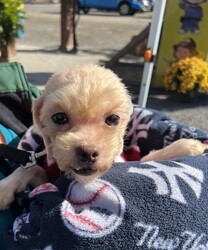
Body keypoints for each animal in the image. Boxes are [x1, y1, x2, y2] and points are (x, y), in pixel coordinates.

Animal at [0, 63, 208, 210]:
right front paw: (5, 187)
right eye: (59, 117)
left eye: (113, 119)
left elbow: (150, 158)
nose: (87, 152)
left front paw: (189, 146)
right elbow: (31, 169)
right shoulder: (47, 176)